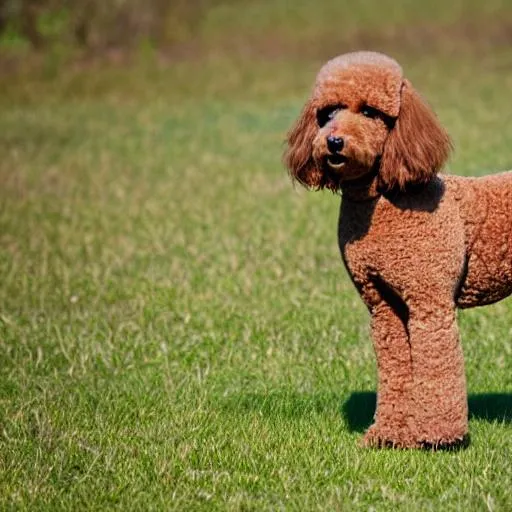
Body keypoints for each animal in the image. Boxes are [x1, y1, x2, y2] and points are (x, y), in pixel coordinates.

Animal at [284, 50, 512, 446]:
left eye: (371, 112)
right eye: (327, 113)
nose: (333, 142)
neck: (385, 198)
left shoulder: (429, 303)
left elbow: (437, 371)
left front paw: (438, 438)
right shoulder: (384, 306)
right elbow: (395, 371)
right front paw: (390, 434)